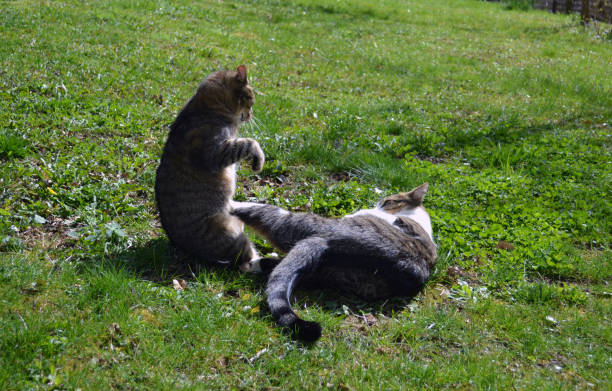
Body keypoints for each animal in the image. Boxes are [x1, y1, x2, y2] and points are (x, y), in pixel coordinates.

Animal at [154, 66, 264, 272]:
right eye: (251, 98)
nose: (252, 114)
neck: (207, 108)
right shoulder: (216, 153)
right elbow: (250, 143)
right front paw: (258, 160)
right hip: (229, 235)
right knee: (246, 261)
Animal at [230, 183, 436, 340]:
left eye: (388, 201)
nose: (378, 205)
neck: (418, 219)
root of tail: (326, 244)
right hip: (327, 274)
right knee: (279, 269)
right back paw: (251, 264)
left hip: (293, 222)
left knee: (259, 212)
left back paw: (232, 204)